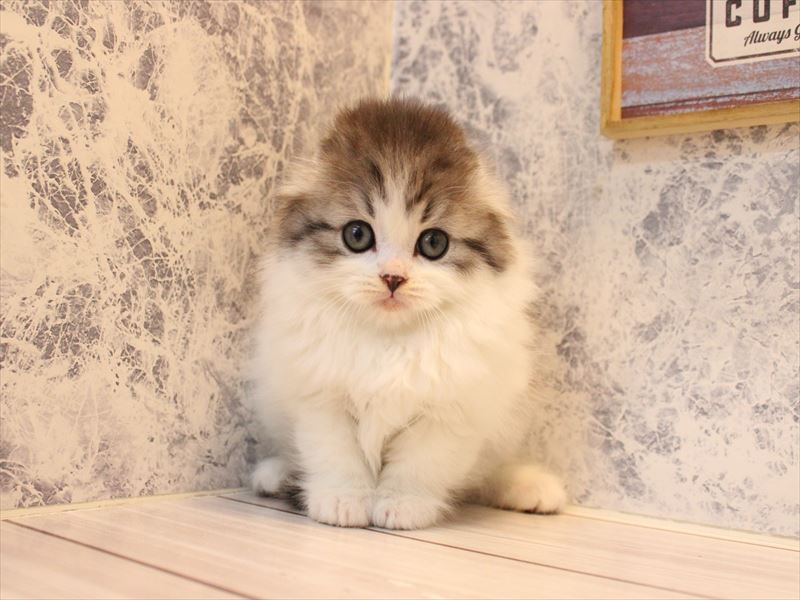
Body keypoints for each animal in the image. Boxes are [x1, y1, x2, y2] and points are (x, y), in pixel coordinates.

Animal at [250, 97, 566, 529]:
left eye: (433, 243)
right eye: (357, 235)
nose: (393, 278)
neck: (389, 341)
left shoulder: (450, 412)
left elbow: (419, 465)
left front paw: (403, 506)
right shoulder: (322, 400)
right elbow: (336, 456)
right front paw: (342, 501)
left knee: (486, 473)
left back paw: (530, 488)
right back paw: (276, 475)